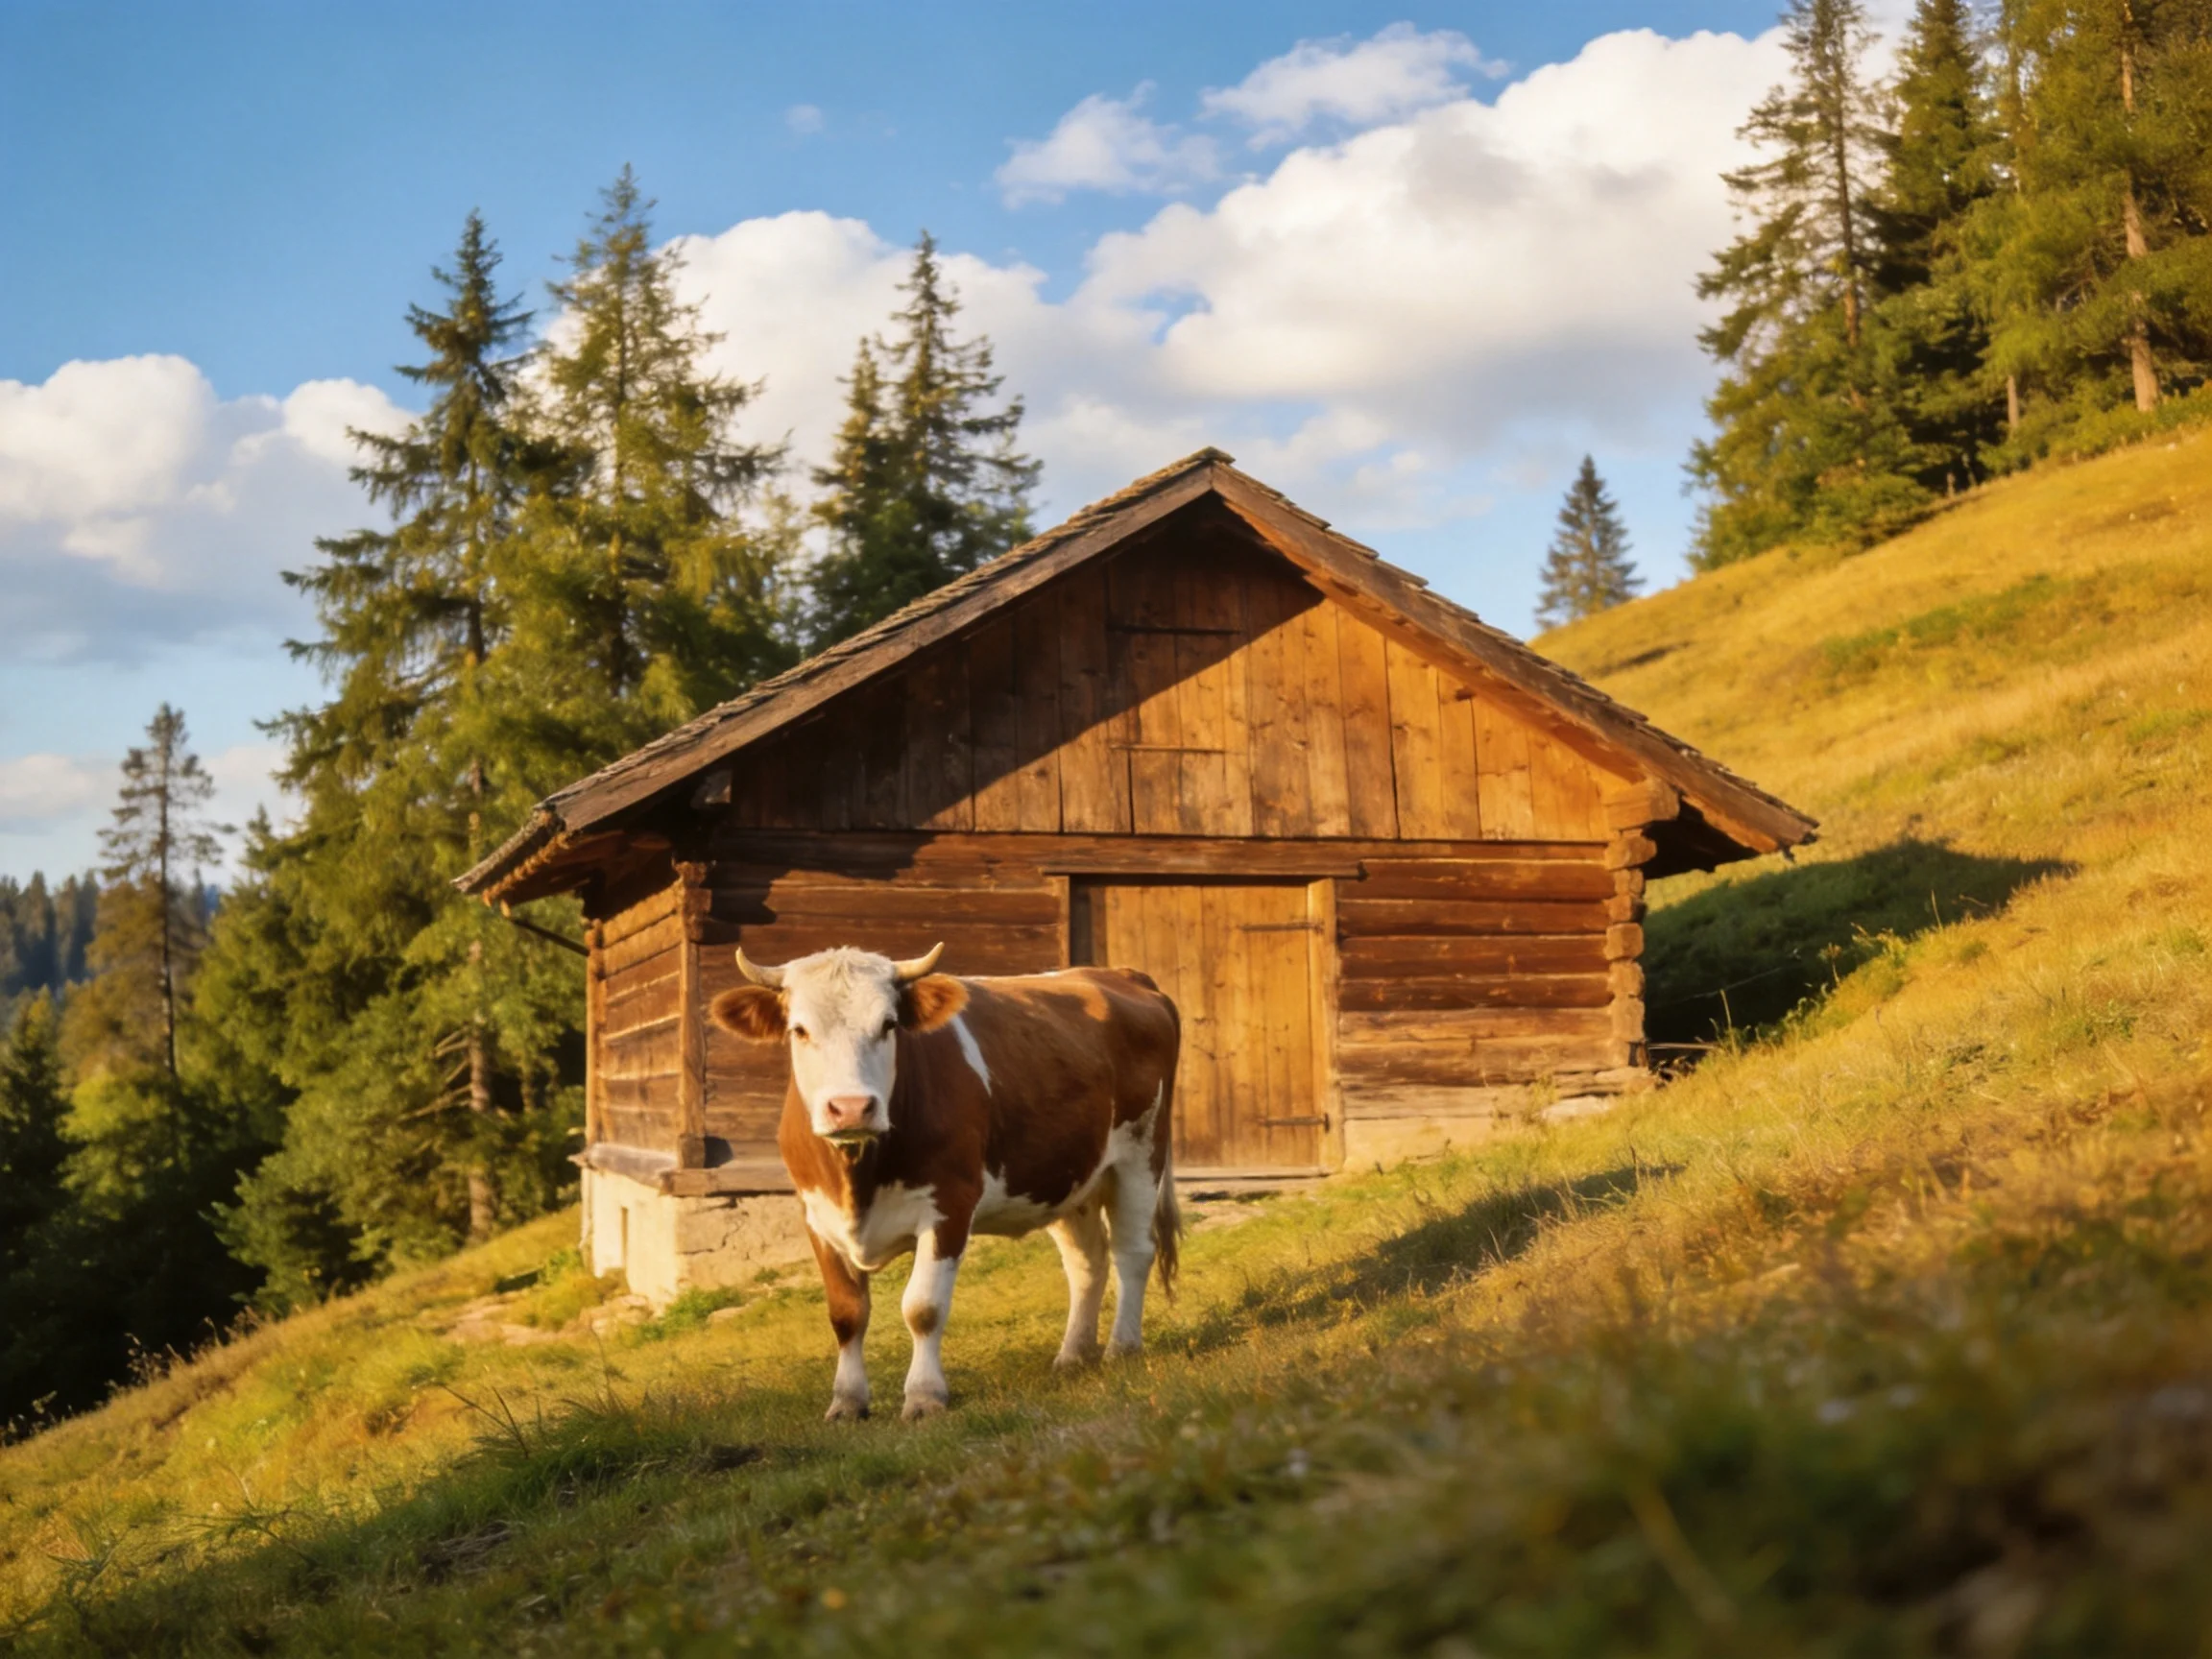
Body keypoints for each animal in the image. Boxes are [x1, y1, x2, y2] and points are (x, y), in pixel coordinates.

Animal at [709, 942, 1183, 1422]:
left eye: (889, 1024)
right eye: (799, 1030)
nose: (851, 1107)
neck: (857, 1179)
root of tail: (1118, 974)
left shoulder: (950, 1206)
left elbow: (923, 1308)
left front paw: (924, 1395)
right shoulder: (817, 1216)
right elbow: (846, 1314)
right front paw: (846, 1401)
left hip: (1141, 1154)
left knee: (1133, 1252)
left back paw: (1122, 1348)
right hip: (1068, 1177)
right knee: (1087, 1262)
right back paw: (1073, 1355)